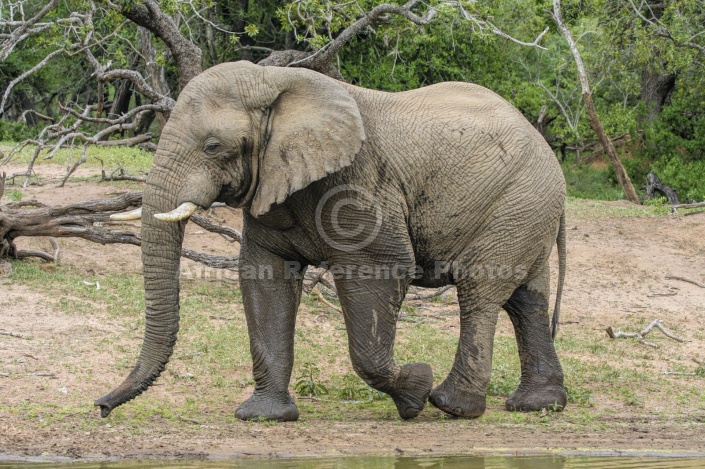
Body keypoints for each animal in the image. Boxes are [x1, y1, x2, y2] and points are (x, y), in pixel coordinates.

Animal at [96, 59, 568, 420]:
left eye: (212, 146)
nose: (101, 407)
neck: (276, 82)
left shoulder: (359, 185)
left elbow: (378, 274)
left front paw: (415, 391)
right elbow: (265, 277)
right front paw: (264, 416)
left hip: (517, 202)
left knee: (481, 295)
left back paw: (452, 406)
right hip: (525, 211)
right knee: (525, 298)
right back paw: (538, 405)